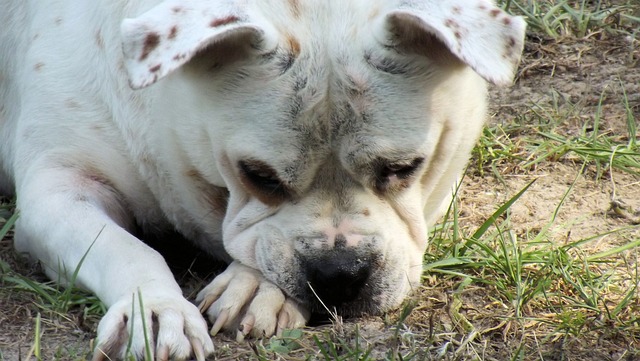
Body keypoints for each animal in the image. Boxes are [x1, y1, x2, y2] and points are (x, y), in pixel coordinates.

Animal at [0, 0, 524, 358]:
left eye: (404, 168)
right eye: (258, 176)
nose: (340, 272)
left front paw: (255, 287)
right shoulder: (59, 189)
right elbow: (126, 248)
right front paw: (158, 311)